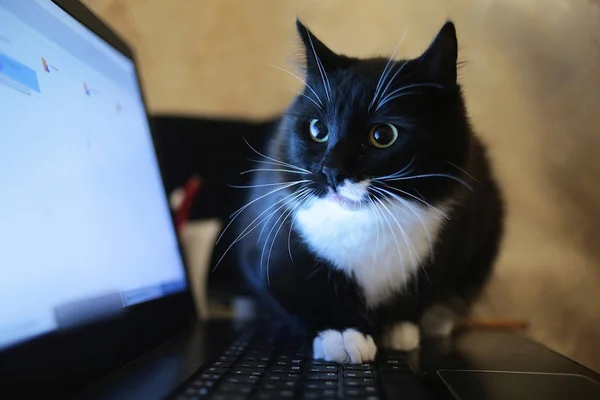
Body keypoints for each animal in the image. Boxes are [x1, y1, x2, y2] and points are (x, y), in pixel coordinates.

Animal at [227, 18, 504, 362]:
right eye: (317, 130)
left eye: (383, 135)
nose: (331, 172)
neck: (365, 222)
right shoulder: (266, 248)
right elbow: (298, 294)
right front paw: (342, 334)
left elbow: (423, 292)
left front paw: (400, 328)